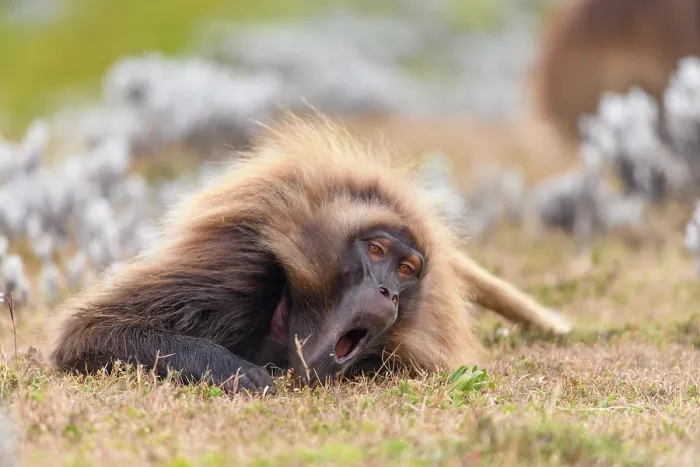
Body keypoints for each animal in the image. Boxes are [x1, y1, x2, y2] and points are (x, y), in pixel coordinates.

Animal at [49, 114, 571, 395]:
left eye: (406, 269)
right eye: (376, 250)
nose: (388, 291)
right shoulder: (237, 274)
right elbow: (90, 332)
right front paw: (238, 373)